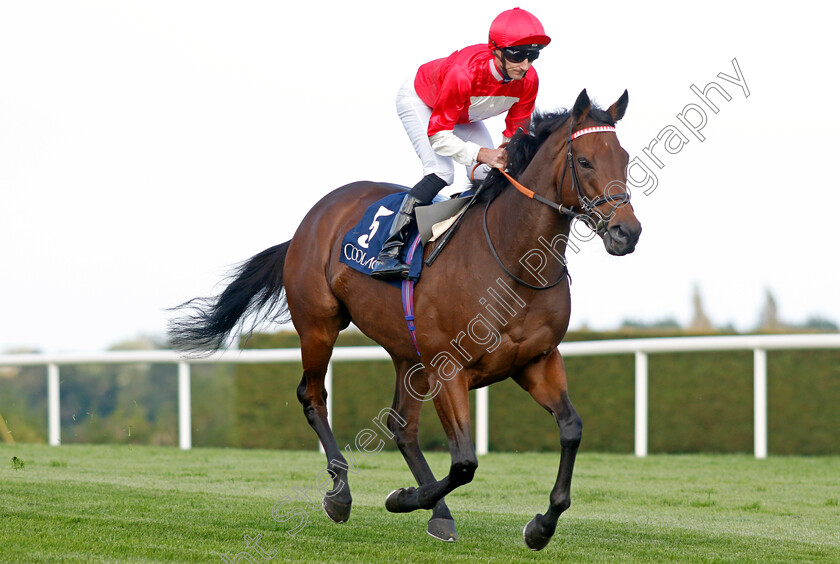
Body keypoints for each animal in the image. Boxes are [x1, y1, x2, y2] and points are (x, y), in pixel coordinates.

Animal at [171, 89, 644, 552]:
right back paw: (341, 494)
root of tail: (315, 216)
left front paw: (541, 526)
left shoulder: (537, 361)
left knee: (402, 428)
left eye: (623, 157)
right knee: (313, 396)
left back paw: (439, 514)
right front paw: (401, 498)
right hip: (319, 325)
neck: (513, 262)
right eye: (584, 161)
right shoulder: (448, 368)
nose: (628, 232)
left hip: (407, 354)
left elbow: (571, 429)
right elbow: (465, 462)